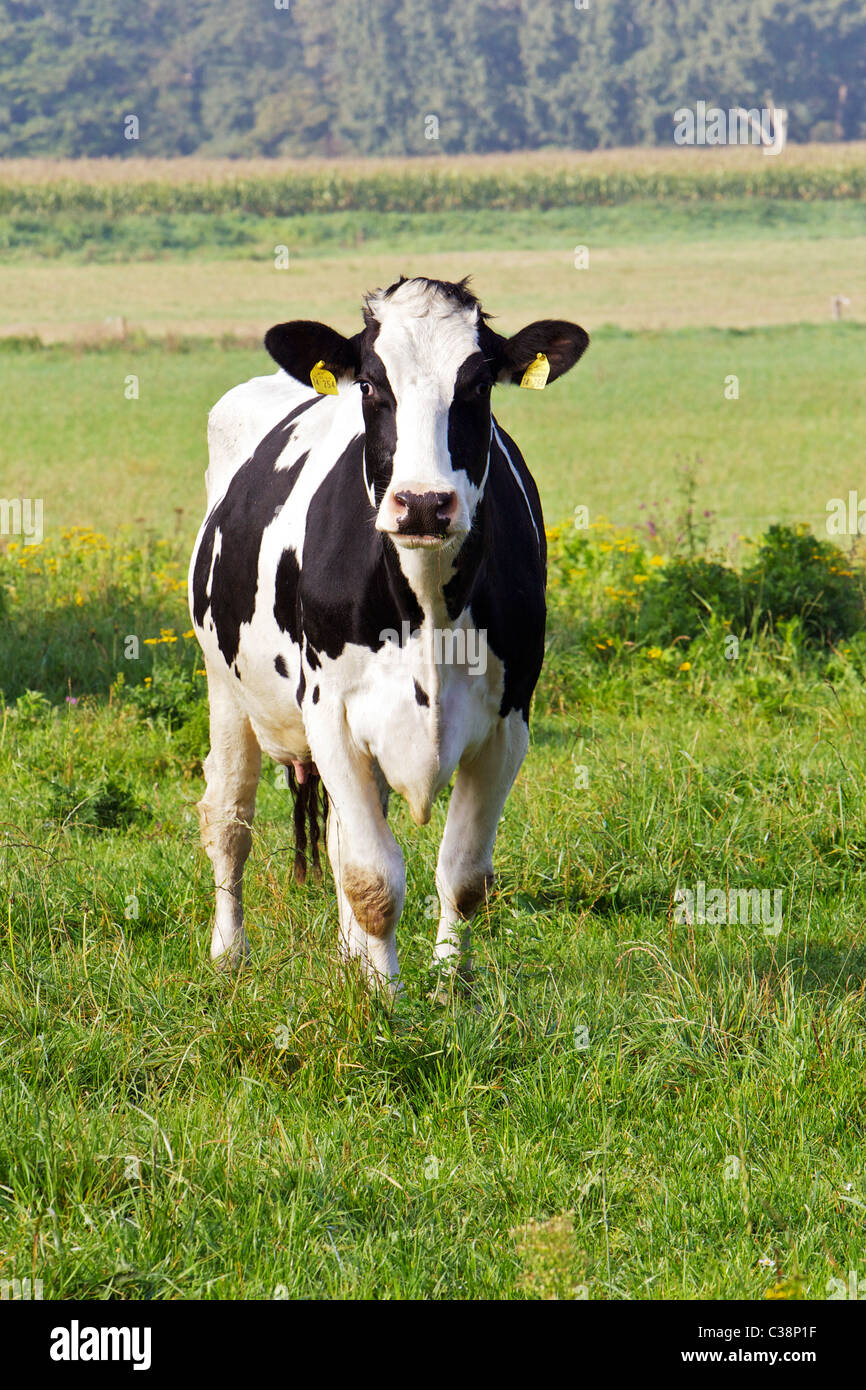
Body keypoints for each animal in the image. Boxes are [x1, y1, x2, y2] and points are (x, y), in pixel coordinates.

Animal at [189, 273, 589, 989]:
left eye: (479, 385)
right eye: (372, 385)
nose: (424, 503)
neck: (427, 606)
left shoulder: (508, 726)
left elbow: (462, 876)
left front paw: (445, 989)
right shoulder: (331, 714)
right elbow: (374, 877)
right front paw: (384, 997)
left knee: (341, 835)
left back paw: (351, 953)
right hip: (224, 686)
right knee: (230, 819)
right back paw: (229, 953)